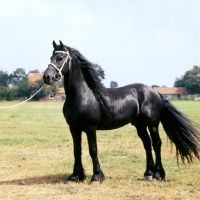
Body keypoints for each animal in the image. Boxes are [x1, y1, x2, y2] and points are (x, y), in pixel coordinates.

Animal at [43, 41, 199, 184]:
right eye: (51, 57)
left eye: (61, 57)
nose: (47, 77)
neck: (83, 95)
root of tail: (155, 92)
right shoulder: (74, 128)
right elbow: (77, 151)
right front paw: (75, 177)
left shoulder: (90, 128)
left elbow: (93, 150)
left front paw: (96, 177)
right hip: (140, 125)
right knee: (147, 144)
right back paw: (148, 173)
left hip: (153, 124)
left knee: (156, 144)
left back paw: (158, 175)